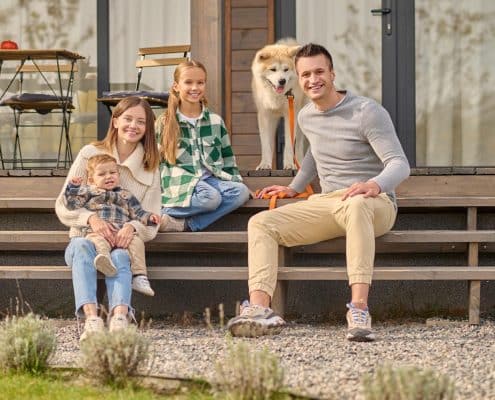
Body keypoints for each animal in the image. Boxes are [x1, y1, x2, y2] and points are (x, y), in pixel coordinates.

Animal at [254, 37, 308, 169]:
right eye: (273, 69)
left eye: (286, 69)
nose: (282, 81)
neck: (276, 96)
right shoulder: (264, 115)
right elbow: (266, 145)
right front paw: (265, 164)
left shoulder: (290, 114)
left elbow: (289, 144)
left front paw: (289, 165)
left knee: (298, 144)